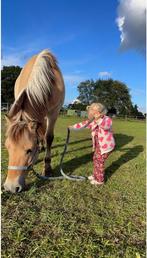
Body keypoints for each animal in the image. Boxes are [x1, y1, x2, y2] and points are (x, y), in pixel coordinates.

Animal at [3, 49, 64, 192]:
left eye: (29, 150)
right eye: (7, 147)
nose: (10, 188)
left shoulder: (54, 112)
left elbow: (48, 137)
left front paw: (47, 168)